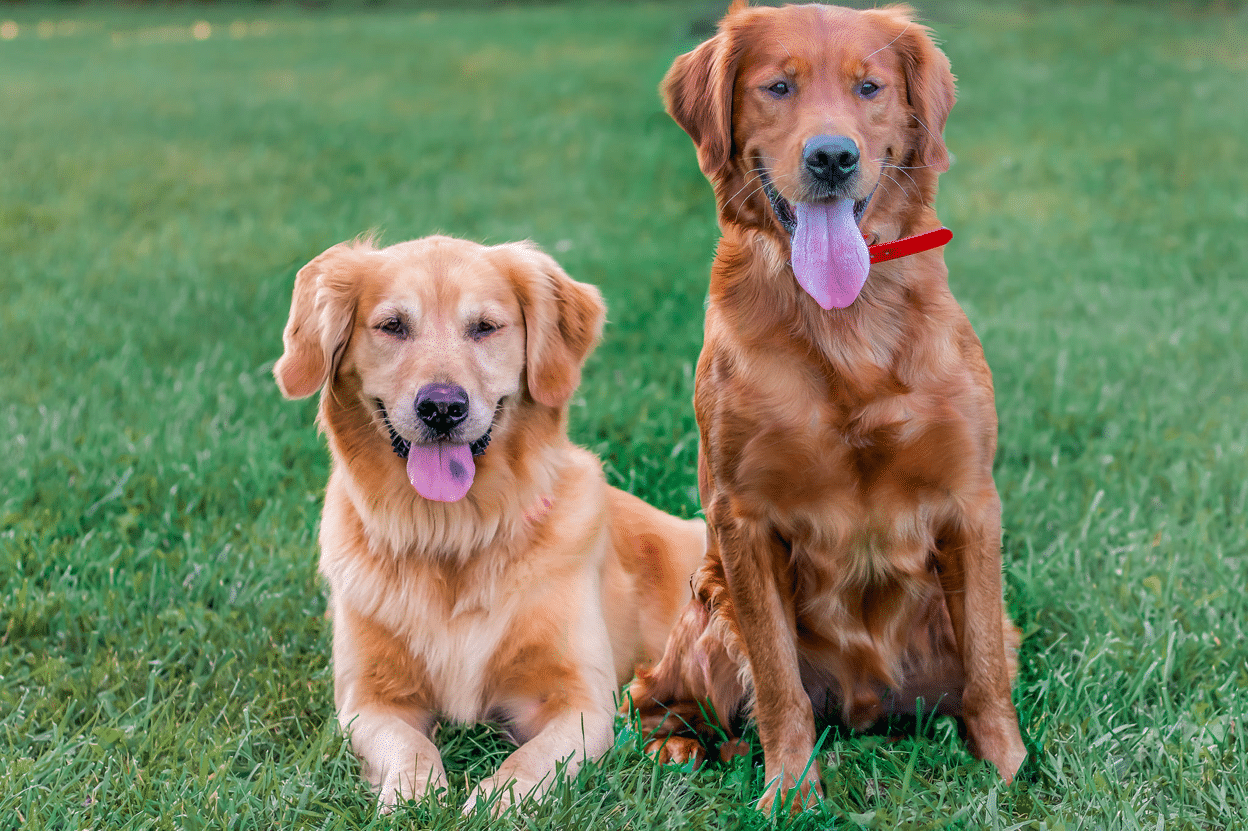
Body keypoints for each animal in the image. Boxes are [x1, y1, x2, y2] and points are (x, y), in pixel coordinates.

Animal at [270, 234, 703, 813]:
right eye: (392, 326)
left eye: (485, 327)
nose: (441, 407)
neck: (454, 532)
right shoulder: (368, 697)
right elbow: (407, 744)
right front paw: (411, 795)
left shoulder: (581, 699)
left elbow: (536, 759)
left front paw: (499, 801)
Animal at [628, 1, 1028, 813]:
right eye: (778, 87)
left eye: (868, 87)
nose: (833, 157)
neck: (844, 324)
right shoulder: (742, 517)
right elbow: (779, 681)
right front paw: (789, 791)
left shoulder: (972, 502)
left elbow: (985, 671)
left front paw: (1008, 772)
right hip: (708, 606)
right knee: (649, 694)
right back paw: (680, 747)